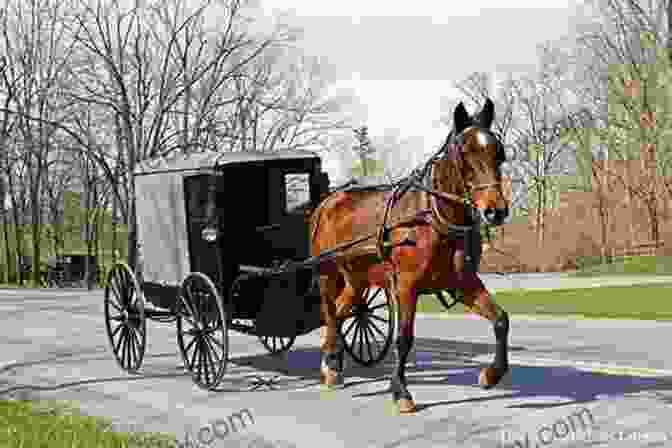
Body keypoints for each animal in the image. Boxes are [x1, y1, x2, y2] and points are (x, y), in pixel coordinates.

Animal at [310, 98, 510, 412]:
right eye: (465, 154)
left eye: (498, 152)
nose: (495, 211)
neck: (432, 218)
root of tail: (327, 202)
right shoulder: (406, 286)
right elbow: (404, 339)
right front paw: (401, 391)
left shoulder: (462, 283)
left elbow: (501, 320)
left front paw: (491, 374)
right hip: (327, 273)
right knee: (330, 313)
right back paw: (331, 363)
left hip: (357, 279)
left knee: (340, 313)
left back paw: (332, 362)